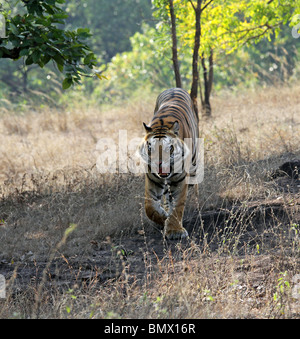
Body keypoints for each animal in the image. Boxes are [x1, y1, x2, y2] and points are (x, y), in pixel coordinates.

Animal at [139, 89, 199, 240]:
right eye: (151, 148)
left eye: (168, 148)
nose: (159, 164)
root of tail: (175, 88)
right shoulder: (152, 179)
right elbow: (150, 208)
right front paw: (164, 218)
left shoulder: (180, 178)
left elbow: (177, 205)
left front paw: (174, 231)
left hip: (194, 163)